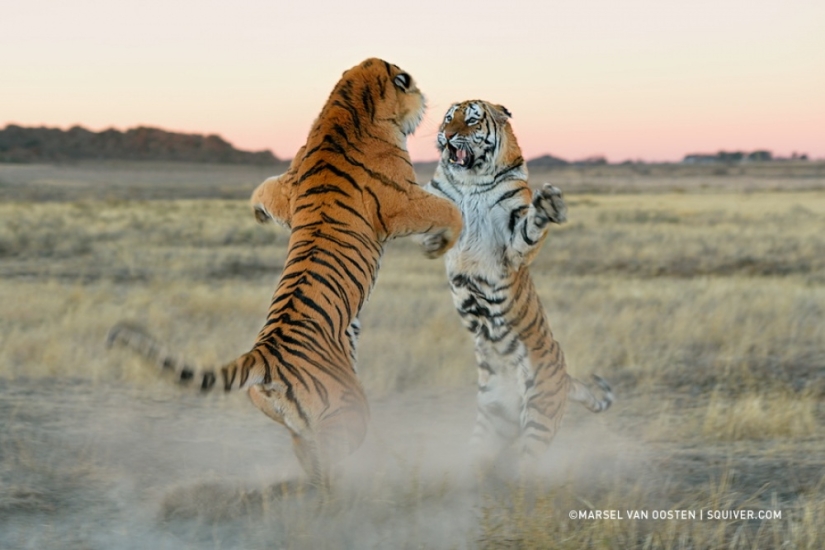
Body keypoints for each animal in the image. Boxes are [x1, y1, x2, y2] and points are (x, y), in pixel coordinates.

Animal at [107, 58, 463, 488]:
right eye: (409, 84)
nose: (426, 99)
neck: (347, 104)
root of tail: (264, 355)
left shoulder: (286, 187)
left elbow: (262, 188)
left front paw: (258, 215)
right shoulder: (404, 199)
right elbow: (450, 211)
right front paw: (436, 247)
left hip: (290, 421)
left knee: (306, 453)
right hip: (352, 412)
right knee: (325, 470)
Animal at [420, 99, 613, 472]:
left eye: (471, 120)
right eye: (448, 118)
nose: (447, 136)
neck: (470, 181)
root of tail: (565, 375)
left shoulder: (513, 238)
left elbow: (530, 227)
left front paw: (549, 203)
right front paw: (433, 242)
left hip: (539, 416)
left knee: (527, 469)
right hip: (490, 423)